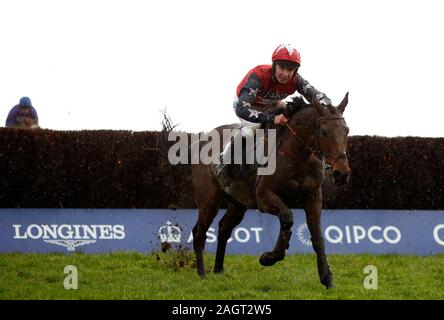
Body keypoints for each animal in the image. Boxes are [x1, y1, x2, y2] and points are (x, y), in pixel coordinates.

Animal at [191, 92, 350, 288]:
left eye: (346, 130)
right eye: (324, 132)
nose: (342, 173)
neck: (297, 156)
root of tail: (201, 139)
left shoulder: (313, 197)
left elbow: (318, 237)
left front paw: (327, 279)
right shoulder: (264, 197)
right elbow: (287, 217)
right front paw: (269, 257)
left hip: (238, 204)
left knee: (223, 229)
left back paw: (218, 270)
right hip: (209, 201)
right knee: (199, 233)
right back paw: (202, 274)